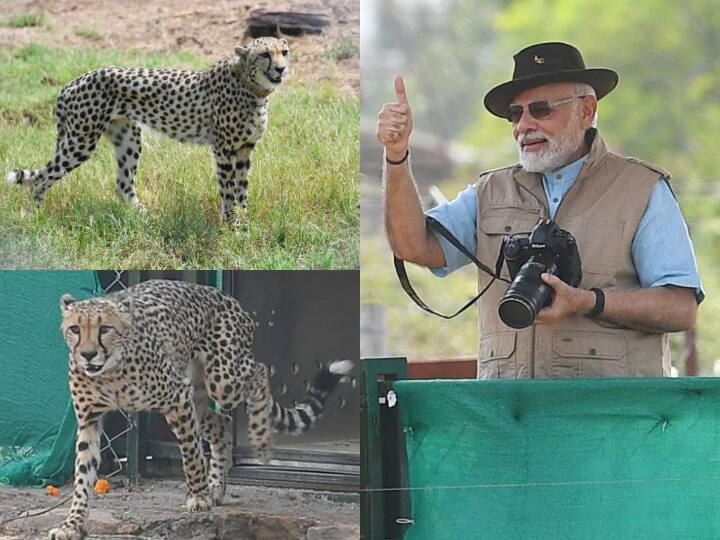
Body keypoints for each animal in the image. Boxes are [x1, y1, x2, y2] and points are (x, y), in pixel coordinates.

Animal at [7, 35, 290, 225]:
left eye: (284, 52)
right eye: (265, 54)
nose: (281, 68)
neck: (253, 88)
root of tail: (72, 82)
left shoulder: (244, 149)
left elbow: (242, 190)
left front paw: (245, 223)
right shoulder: (224, 150)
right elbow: (228, 190)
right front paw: (232, 225)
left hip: (129, 138)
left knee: (123, 186)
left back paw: (145, 218)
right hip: (80, 142)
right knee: (41, 178)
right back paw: (36, 216)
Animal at [50, 278, 354, 540]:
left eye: (105, 329)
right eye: (75, 329)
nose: (88, 354)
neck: (109, 372)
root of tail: (226, 297)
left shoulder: (177, 398)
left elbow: (191, 453)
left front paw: (198, 495)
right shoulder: (89, 420)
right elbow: (82, 475)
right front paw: (72, 524)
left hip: (224, 381)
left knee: (258, 373)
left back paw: (258, 440)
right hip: (199, 397)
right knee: (221, 423)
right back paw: (218, 486)